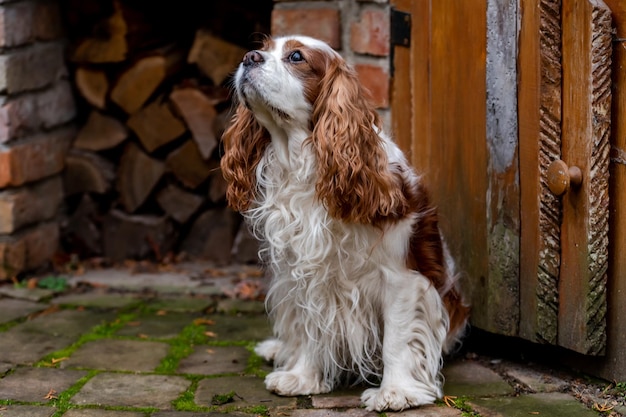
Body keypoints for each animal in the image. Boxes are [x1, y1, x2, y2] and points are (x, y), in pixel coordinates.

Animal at [219, 35, 468, 410]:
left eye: (296, 57)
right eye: (264, 46)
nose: (249, 57)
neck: (307, 161)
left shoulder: (402, 279)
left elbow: (397, 338)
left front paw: (395, 392)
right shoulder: (305, 273)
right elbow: (310, 325)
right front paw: (302, 377)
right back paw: (279, 349)